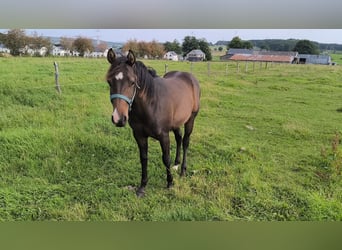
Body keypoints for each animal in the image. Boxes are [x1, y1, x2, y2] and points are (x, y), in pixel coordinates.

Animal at [105, 48, 199, 197]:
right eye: (109, 81)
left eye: (132, 82)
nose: (119, 118)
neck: (151, 104)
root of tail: (190, 78)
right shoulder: (139, 136)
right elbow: (143, 158)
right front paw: (142, 187)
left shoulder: (163, 136)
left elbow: (165, 158)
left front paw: (170, 183)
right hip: (176, 123)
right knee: (179, 138)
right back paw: (176, 164)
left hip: (190, 119)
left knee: (185, 142)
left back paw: (183, 170)